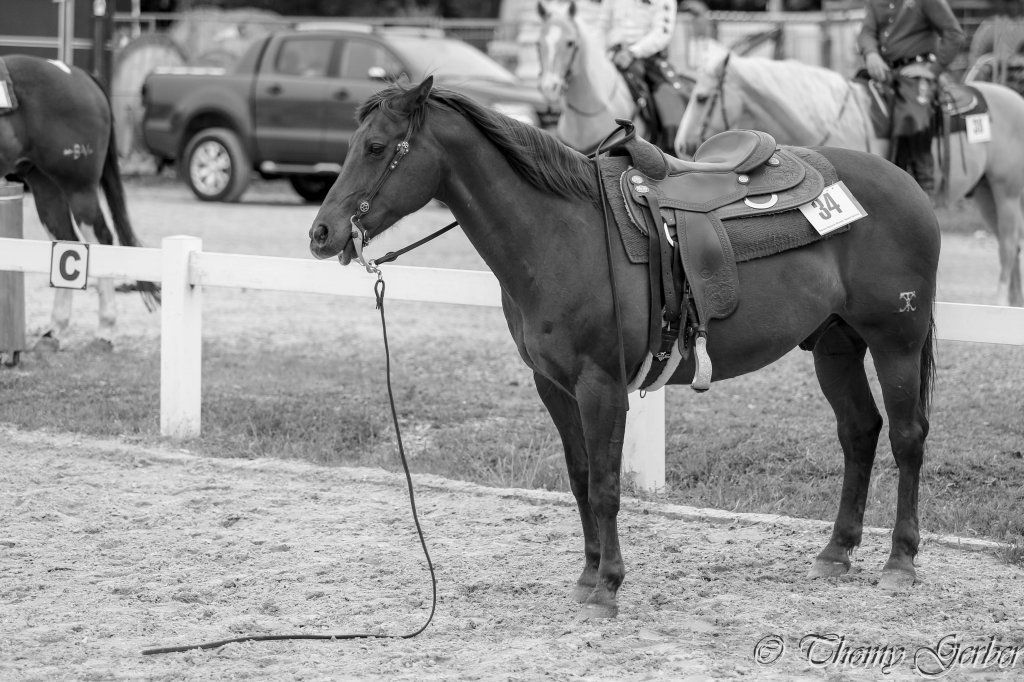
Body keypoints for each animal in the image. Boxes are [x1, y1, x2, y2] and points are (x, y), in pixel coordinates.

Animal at [0, 54, 159, 352]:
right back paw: (55, 330)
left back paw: (105, 329)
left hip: (79, 188)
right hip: (45, 185)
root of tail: (79, 76)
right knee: (67, 243)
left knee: (101, 238)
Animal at [309, 77, 938, 618]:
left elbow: (607, 487)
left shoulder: (601, 384)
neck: (562, 236)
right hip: (836, 346)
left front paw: (608, 586)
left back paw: (900, 562)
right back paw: (836, 552)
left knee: (907, 437)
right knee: (859, 433)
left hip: (896, 341)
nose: (321, 234)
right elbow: (580, 478)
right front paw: (588, 575)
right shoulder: (554, 385)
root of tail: (906, 183)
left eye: (376, 146)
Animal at [675, 52, 1024, 308]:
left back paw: (1001, 303)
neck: (830, 120)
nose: (680, 145)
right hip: (986, 195)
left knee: (1008, 246)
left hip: (1006, 192)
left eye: (702, 97)